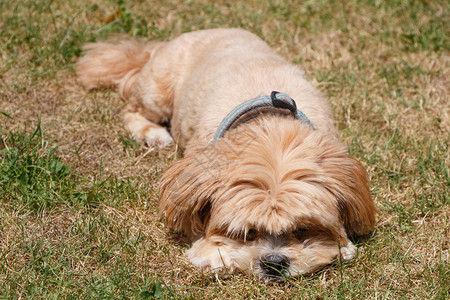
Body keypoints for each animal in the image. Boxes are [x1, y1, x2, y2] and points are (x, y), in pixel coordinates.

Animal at [77, 28, 376, 282]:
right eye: (247, 233)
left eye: (302, 230)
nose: (274, 262)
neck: (271, 129)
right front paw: (215, 255)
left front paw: (341, 245)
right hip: (156, 94)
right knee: (131, 110)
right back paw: (152, 133)